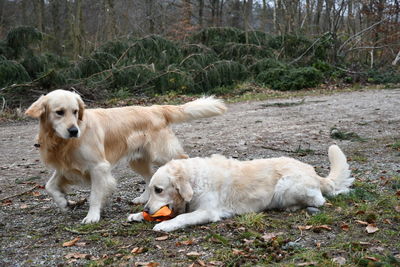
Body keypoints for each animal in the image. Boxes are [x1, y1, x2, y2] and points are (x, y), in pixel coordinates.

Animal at [25, 90, 227, 224]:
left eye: (75, 111)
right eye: (59, 112)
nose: (74, 130)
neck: (62, 142)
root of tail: (155, 108)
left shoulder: (98, 167)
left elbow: (94, 195)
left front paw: (92, 216)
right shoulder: (67, 166)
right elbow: (49, 186)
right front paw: (63, 202)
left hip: (161, 153)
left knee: (180, 159)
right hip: (137, 160)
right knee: (149, 177)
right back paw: (144, 198)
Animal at [128, 146, 354, 231]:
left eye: (158, 189)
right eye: (150, 189)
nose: (147, 209)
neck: (194, 180)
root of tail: (314, 173)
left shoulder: (207, 211)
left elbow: (182, 217)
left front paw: (165, 225)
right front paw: (137, 215)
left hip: (285, 185)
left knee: (319, 200)